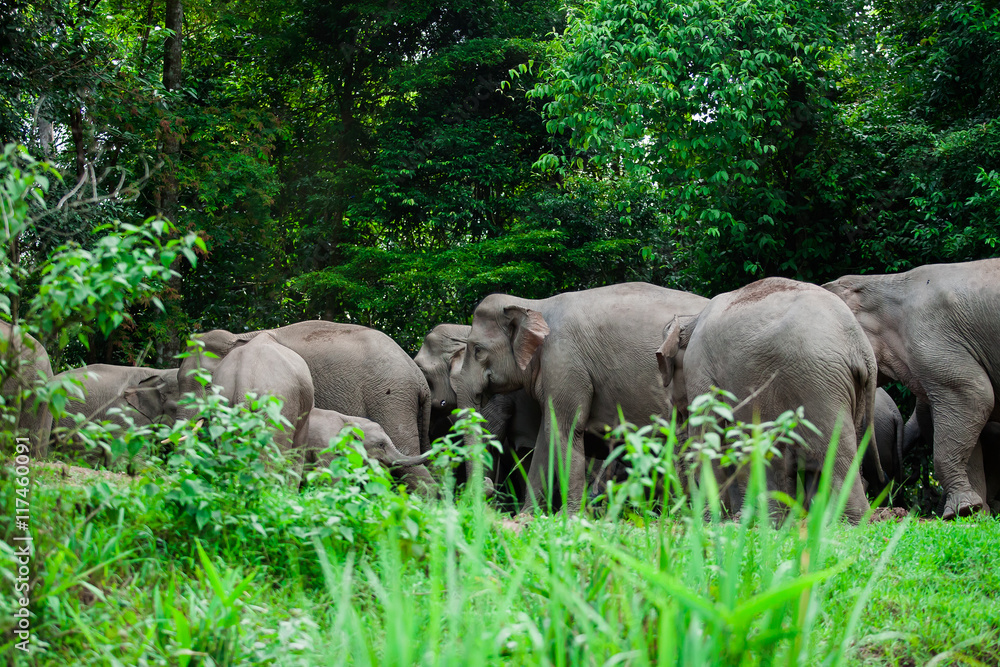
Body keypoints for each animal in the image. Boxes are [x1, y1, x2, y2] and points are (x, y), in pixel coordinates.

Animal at [451, 282, 710, 514]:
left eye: (477, 350)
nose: (488, 485)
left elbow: (565, 429)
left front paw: (570, 517)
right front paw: (528, 517)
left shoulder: (564, 362)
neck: (534, 305)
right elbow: (546, 435)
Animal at [656, 278, 879, 523]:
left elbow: (709, 433)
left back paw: (850, 523)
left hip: (818, 380)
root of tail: (860, 346)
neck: (691, 319)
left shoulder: (699, 368)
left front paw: (712, 521)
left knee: (834, 451)